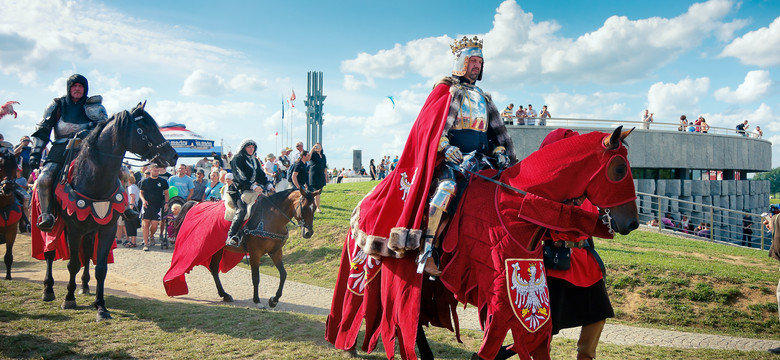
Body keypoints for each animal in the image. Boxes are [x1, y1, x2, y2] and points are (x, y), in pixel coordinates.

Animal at [41, 101, 178, 320]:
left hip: (90, 229)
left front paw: (101, 306)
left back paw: (85, 286)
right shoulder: (73, 229)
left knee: (88, 252)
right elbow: (72, 264)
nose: (173, 155)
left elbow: (101, 268)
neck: (94, 180)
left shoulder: (107, 228)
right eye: (145, 128)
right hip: (54, 224)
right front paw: (69, 299)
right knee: (50, 252)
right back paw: (48, 289)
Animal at [169, 187, 318, 308]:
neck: (270, 218)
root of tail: (196, 203)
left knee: (214, 269)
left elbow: (283, 274)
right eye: (304, 207)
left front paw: (274, 300)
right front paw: (257, 301)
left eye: (315, 208)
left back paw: (224, 295)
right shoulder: (255, 253)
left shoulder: (275, 252)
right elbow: (256, 277)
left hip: (218, 249)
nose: (308, 232)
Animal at [330, 127, 640, 360]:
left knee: (412, 319)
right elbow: (492, 347)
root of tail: (362, 203)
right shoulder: (501, 295)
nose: (632, 223)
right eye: (619, 169)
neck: (513, 204)